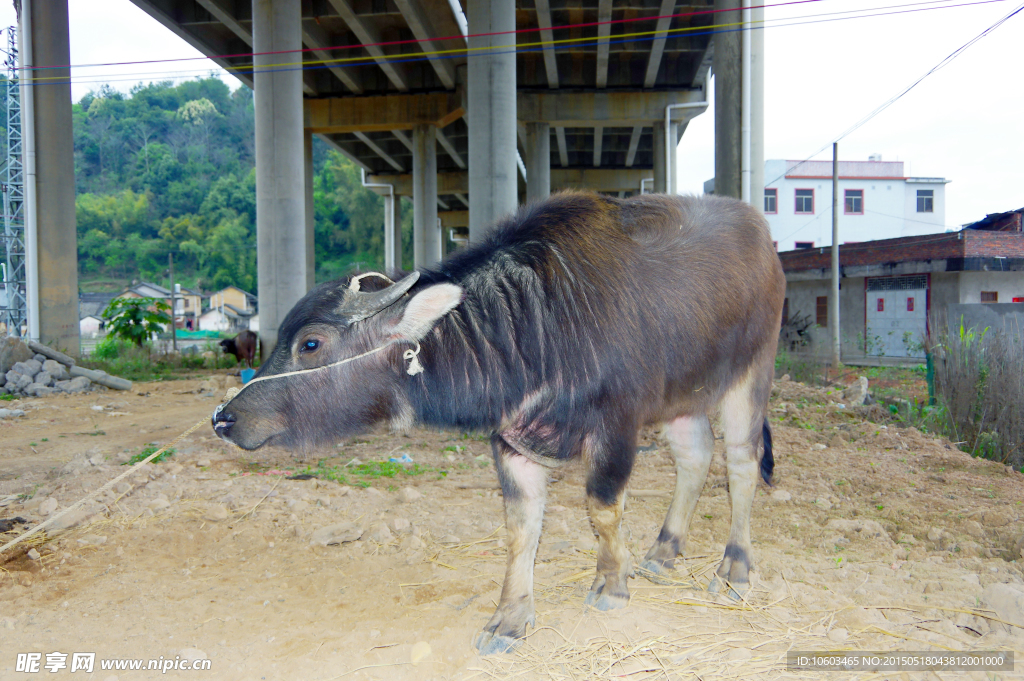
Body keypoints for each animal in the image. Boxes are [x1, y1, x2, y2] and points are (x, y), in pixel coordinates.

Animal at [207, 191, 782, 655]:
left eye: (311, 343)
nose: (224, 418)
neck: (537, 328)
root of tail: (761, 235)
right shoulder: (511, 443)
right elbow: (520, 529)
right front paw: (510, 619)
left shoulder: (617, 429)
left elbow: (602, 509)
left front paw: (611, 584)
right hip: (684, 395)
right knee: (695, 454)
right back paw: (664, 551)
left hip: (751, 372)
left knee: (741, 461)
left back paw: (735, 565)